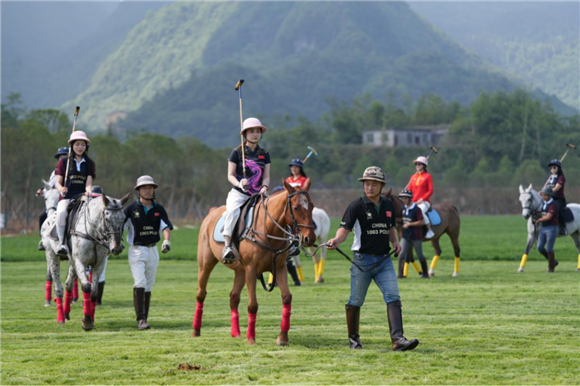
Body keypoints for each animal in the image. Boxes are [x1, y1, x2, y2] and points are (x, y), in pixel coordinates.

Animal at [42, 191, 129, 330]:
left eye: (123, 218)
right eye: (107, 219)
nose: (117, 248)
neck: (93, 234)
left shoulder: (99, 264)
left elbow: (93, 293)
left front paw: (91, 319)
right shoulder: (80, 262)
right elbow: (86, 287)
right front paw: (87, 321)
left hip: (72, 262)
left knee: (68, 284)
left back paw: (66, 313)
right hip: (51, 256)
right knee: (58, 288)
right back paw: (60, 318)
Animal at [193, 181, 314, 346]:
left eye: (312, 206)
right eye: (295, 208)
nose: (310, 238)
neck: (268, 230)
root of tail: (211, 212)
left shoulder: (280, 268)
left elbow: (287, 297)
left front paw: (282, 338)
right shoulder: (251, 269)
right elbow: (252, 305)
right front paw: (251, 338)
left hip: (240, 271)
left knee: (234, 297)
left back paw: (236, 334)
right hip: (205, 264)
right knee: (201, 293)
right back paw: (196, 331)